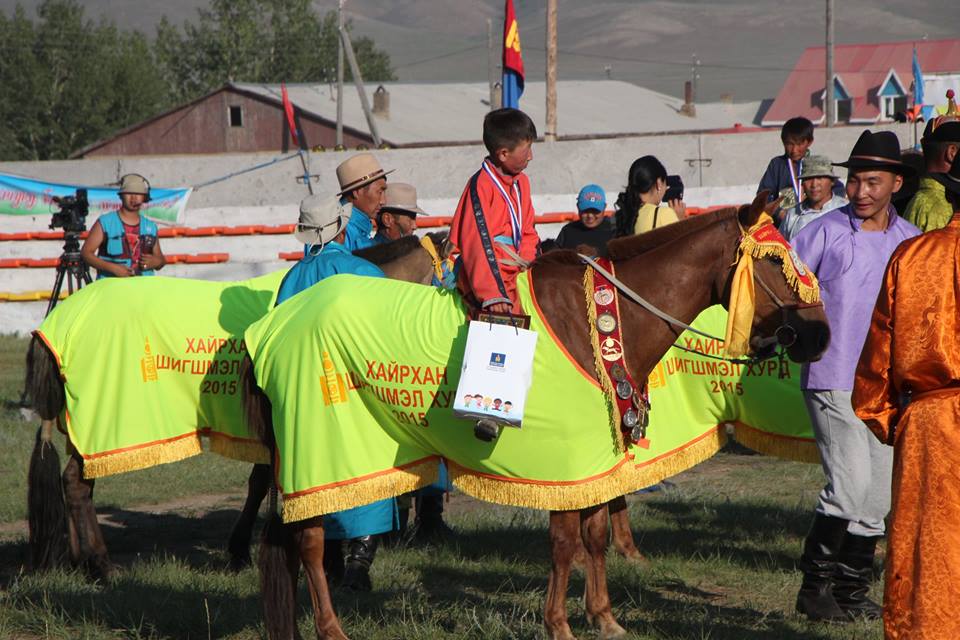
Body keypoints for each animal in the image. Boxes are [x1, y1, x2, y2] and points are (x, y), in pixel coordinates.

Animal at [21, 234, 458, 580]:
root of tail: (56, 321)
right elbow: (264, 482)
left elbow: (260, 481)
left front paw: (240, 549)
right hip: (99, 427)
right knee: (76, 485)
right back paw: (100, 563)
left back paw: (80, 559)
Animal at [242, 195, 832, 640]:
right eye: (775, 263)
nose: (821, 335)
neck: (602, 320)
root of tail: (275, 323)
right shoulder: (564, 464)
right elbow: (566, 542)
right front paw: (559, 625)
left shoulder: (594, 461)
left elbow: (595, 534)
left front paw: (604, 618)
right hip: (318, 454)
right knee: (310, 539)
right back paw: (331, 628)